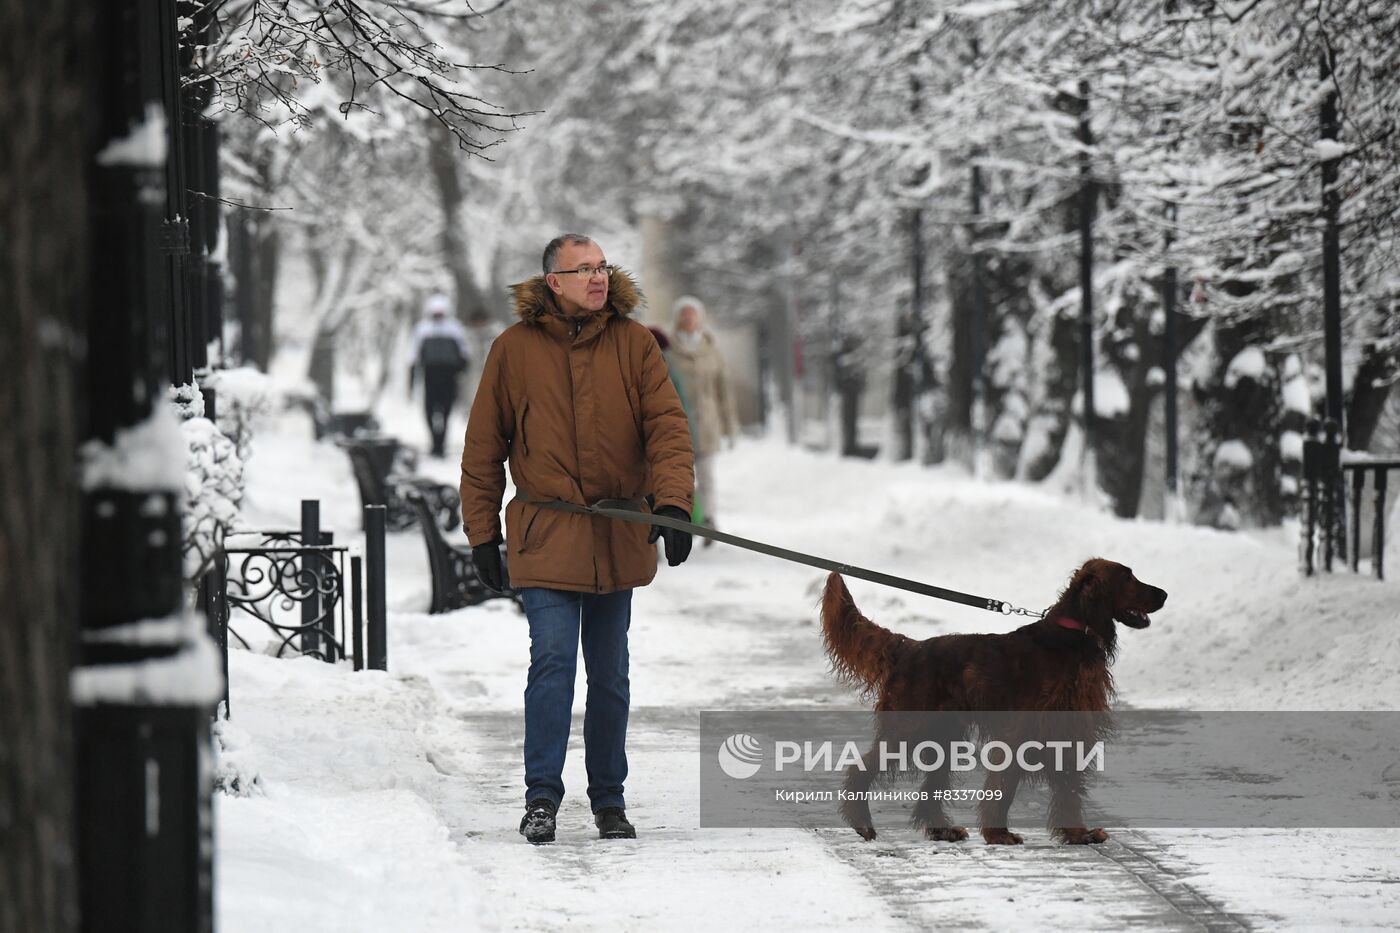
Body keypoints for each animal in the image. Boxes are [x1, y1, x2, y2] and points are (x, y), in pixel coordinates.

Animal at [817, 554, 1170, 846]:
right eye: (1128, 577)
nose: (1164, 594)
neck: (1071, 636)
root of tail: (909, 647)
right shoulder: (1024, 730)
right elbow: (1007, 783)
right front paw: (998, 833)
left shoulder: (1069, 729)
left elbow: (1069, 786)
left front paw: (1077, 833)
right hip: (910, 727)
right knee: (860, 768)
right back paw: (862, 822)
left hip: (943, 735)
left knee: (930, 787)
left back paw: (941, 829)